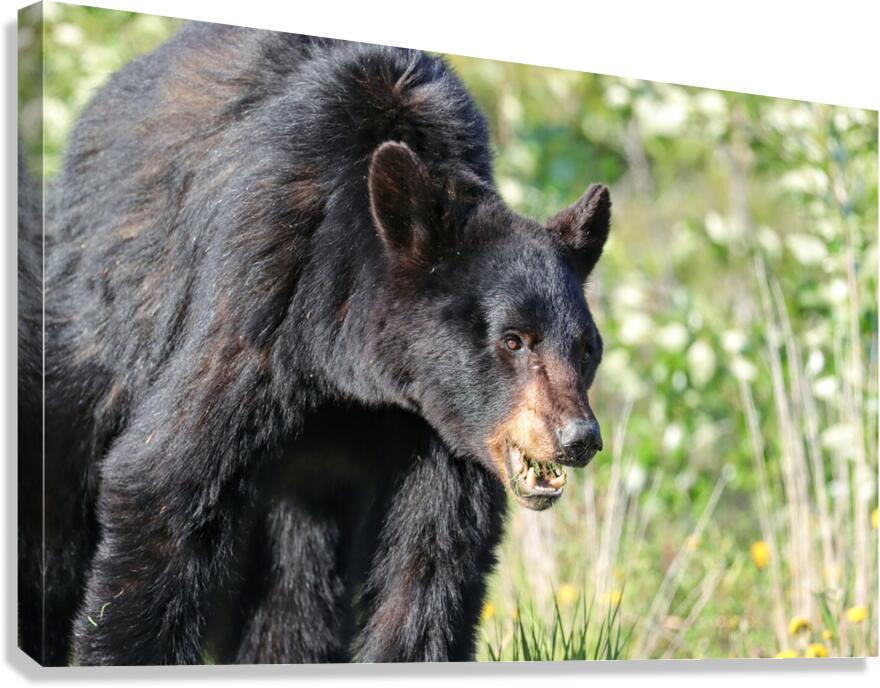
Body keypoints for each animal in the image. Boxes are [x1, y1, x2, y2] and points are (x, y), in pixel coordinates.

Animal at [19, 21, 610, 666]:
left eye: (586, 348)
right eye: (513, 339)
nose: (579, 438)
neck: (347, 365)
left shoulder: (441, 423)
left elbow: (432, 557)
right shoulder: (261, 294)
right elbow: (165, 482)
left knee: (298, 581)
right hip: (99, 317)